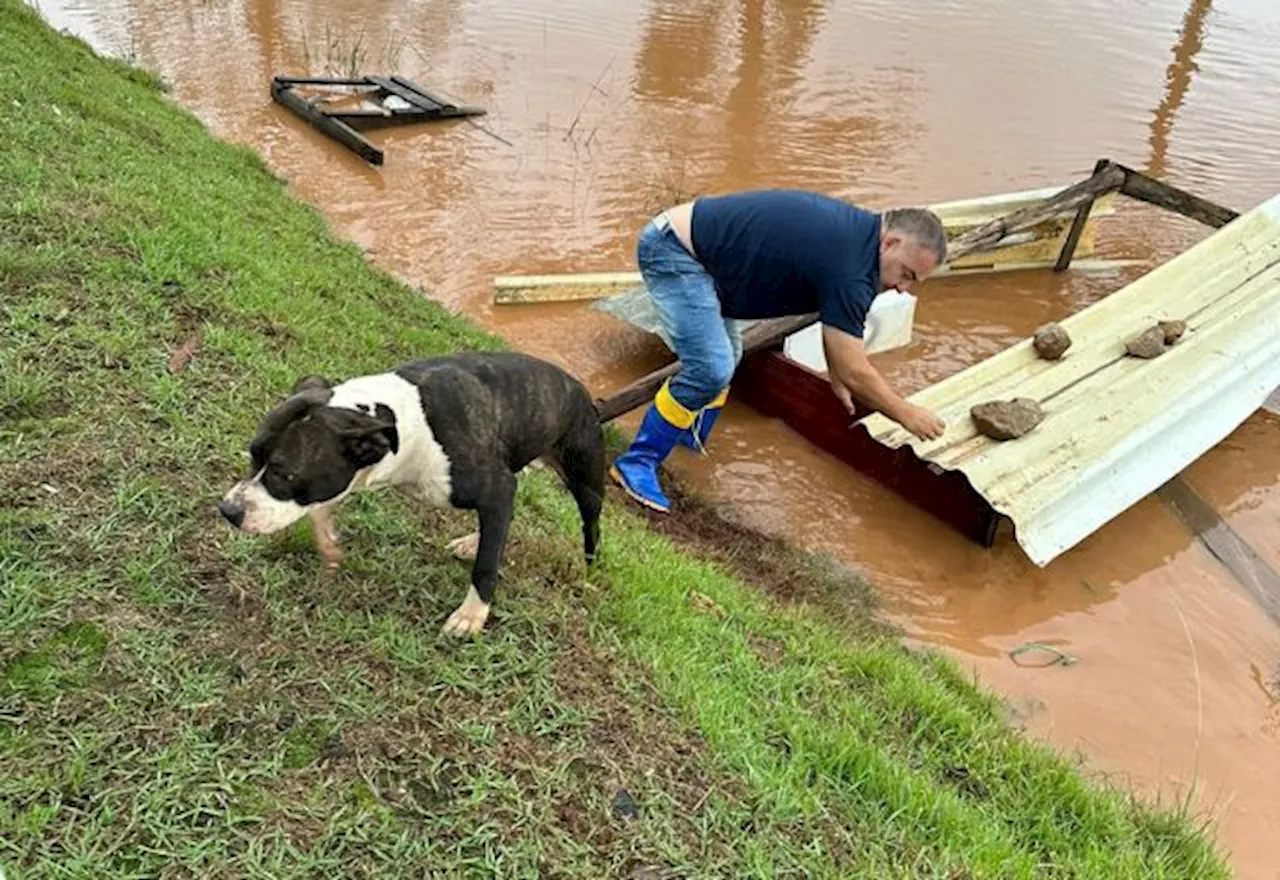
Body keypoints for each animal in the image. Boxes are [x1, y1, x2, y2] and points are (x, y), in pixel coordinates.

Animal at [216, 353, 604, 639]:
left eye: (285, 475)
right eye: (253, 454)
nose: (229, 510)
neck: (407, 422)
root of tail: (583, 392)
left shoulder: (495, 487)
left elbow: (486, 565)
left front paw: (471, 616)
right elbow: (320, 506)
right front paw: (327, 542)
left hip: (585, 478)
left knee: (590, 525)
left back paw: (589, 569)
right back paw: (473, 540)